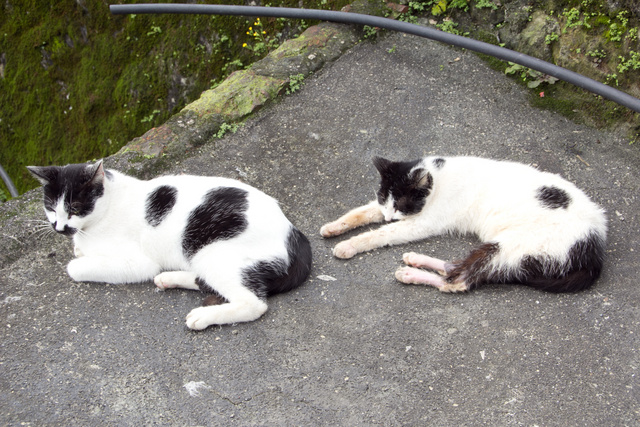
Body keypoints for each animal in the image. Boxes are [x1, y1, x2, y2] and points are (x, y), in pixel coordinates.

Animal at [28, 161, 314, 332]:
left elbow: (75, 267)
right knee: (203, 280)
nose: (59, 227)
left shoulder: (138, 263)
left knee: (253, 304)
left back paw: (202, 316)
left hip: (211, 251)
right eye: (51, 207)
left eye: (75, 208)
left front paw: (78, 259)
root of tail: (293, 232)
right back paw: (169, 279)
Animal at [322, 157, 608, 294]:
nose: (391, 215)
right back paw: (416, 261)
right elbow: (361, 212)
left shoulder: (421, 223)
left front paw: (349, 245)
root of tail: (595, 242)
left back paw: (411, 274)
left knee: (459, 280)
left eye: (402, 203)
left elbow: (380, 234)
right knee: (456, 268)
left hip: (513, 247)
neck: (437, 178)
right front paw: (334, 226)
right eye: (384, 198)